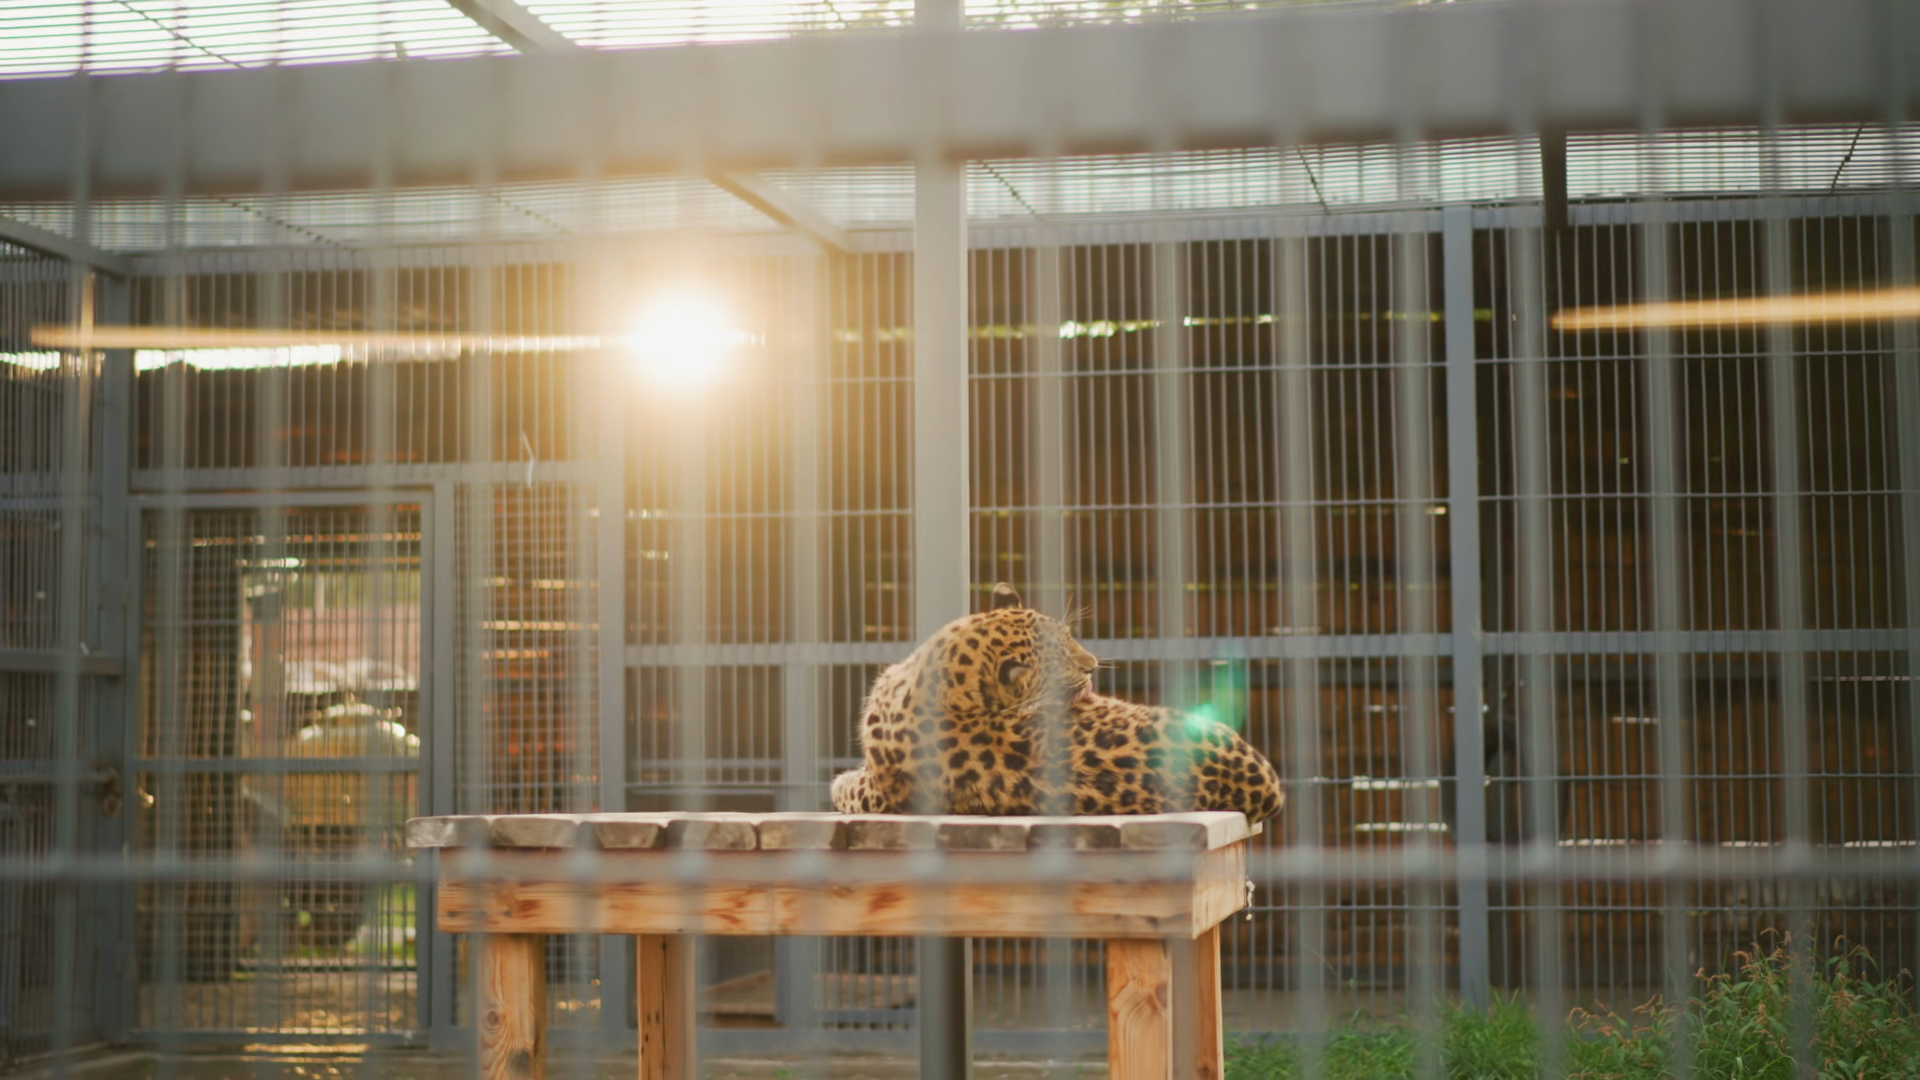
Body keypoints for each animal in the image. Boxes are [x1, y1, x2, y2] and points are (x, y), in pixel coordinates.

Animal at [830, 582, 1284, 824]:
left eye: (1070, 637)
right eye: (1060, 658)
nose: (1093, 666)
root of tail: (1265, 789)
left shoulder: (878, 792)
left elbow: (842, 787)